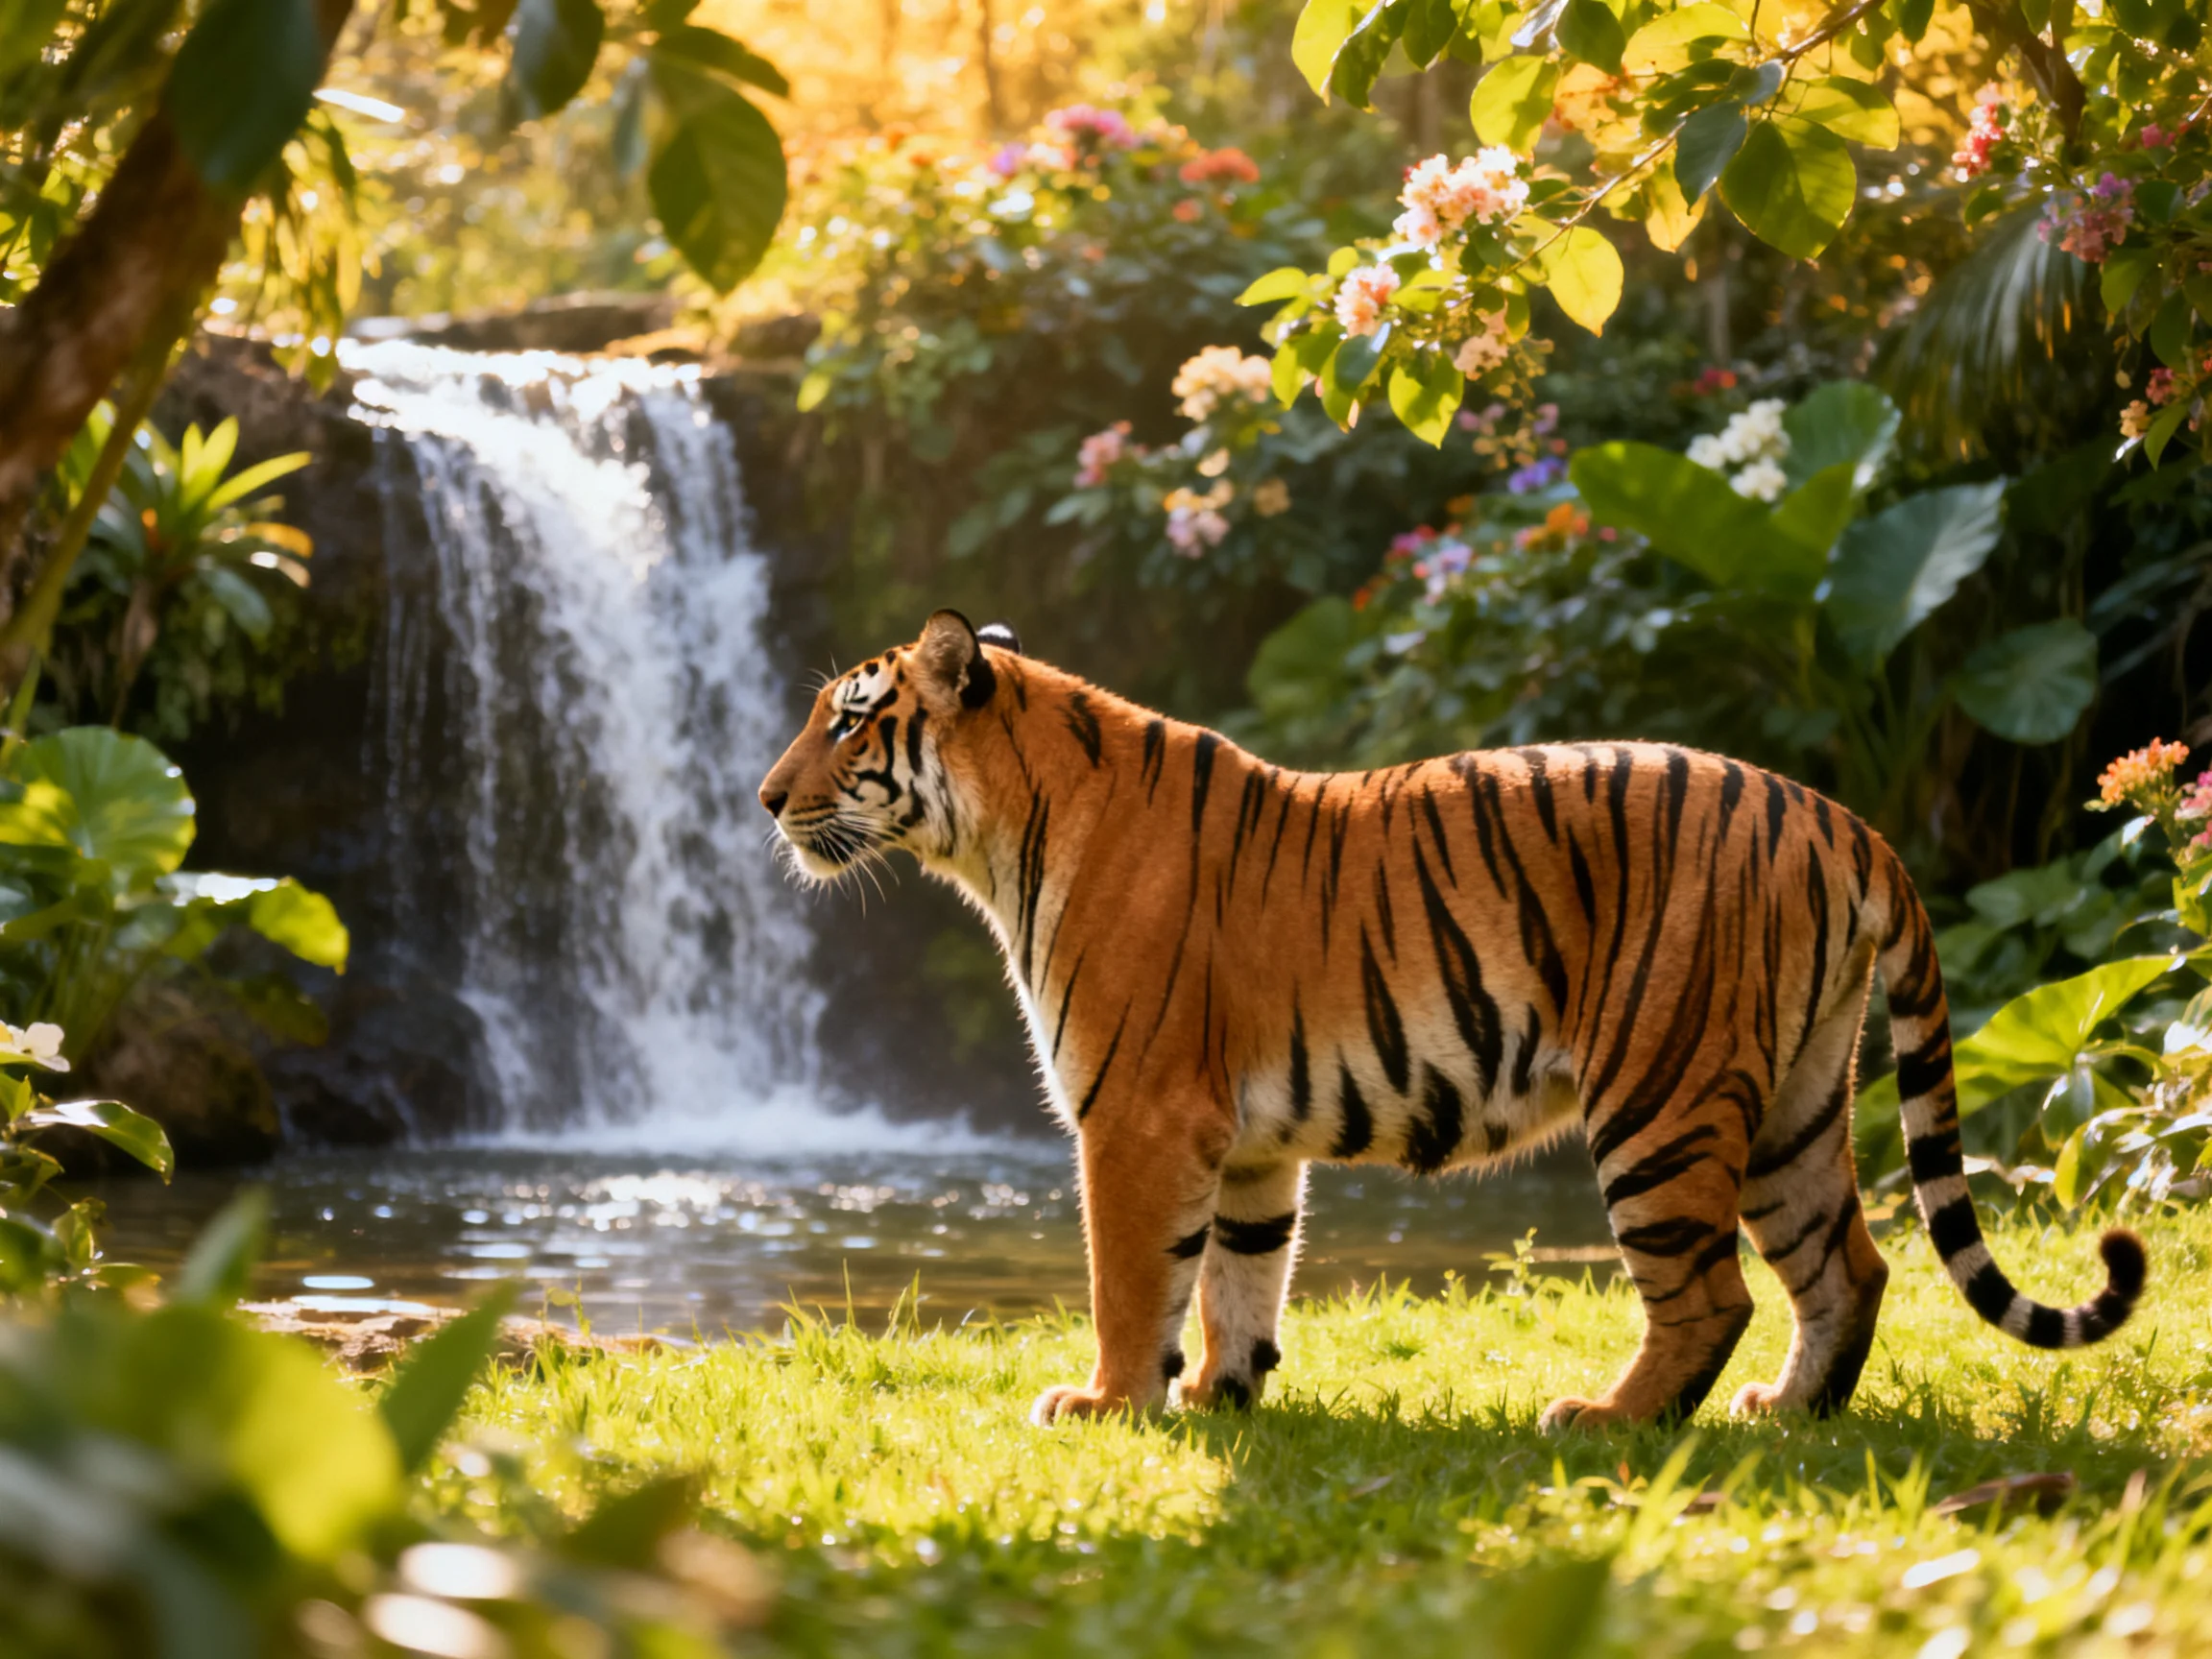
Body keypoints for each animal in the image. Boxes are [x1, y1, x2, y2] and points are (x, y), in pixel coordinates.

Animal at [758, 610, 2146, 1429]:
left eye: (848, 720)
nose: (766, 797)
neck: (999, 835)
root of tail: (1840, 816)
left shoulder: (1136, 1118)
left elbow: (1132, 1281)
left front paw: (1109, 1403)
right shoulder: (1245, 1143)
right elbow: (1237, 1276)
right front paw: (1219, 1394)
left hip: (1663, 1094)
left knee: (1710, 1294)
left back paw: (1610, 1422)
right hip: (1797, 1105)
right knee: (1849, 1266)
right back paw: (1789, 1415)